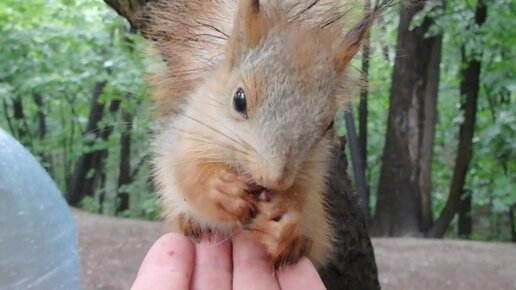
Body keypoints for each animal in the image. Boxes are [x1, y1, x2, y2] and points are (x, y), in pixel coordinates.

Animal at [143, 0, 390, 268]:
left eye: (329, 124)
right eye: (239, 99)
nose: (275, 180)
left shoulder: (311, 172)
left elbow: (301, 197)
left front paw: (285, 215)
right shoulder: (188, 135)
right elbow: (189, 173)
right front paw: (222, 190)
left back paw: (290, 243)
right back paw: (191, 223)